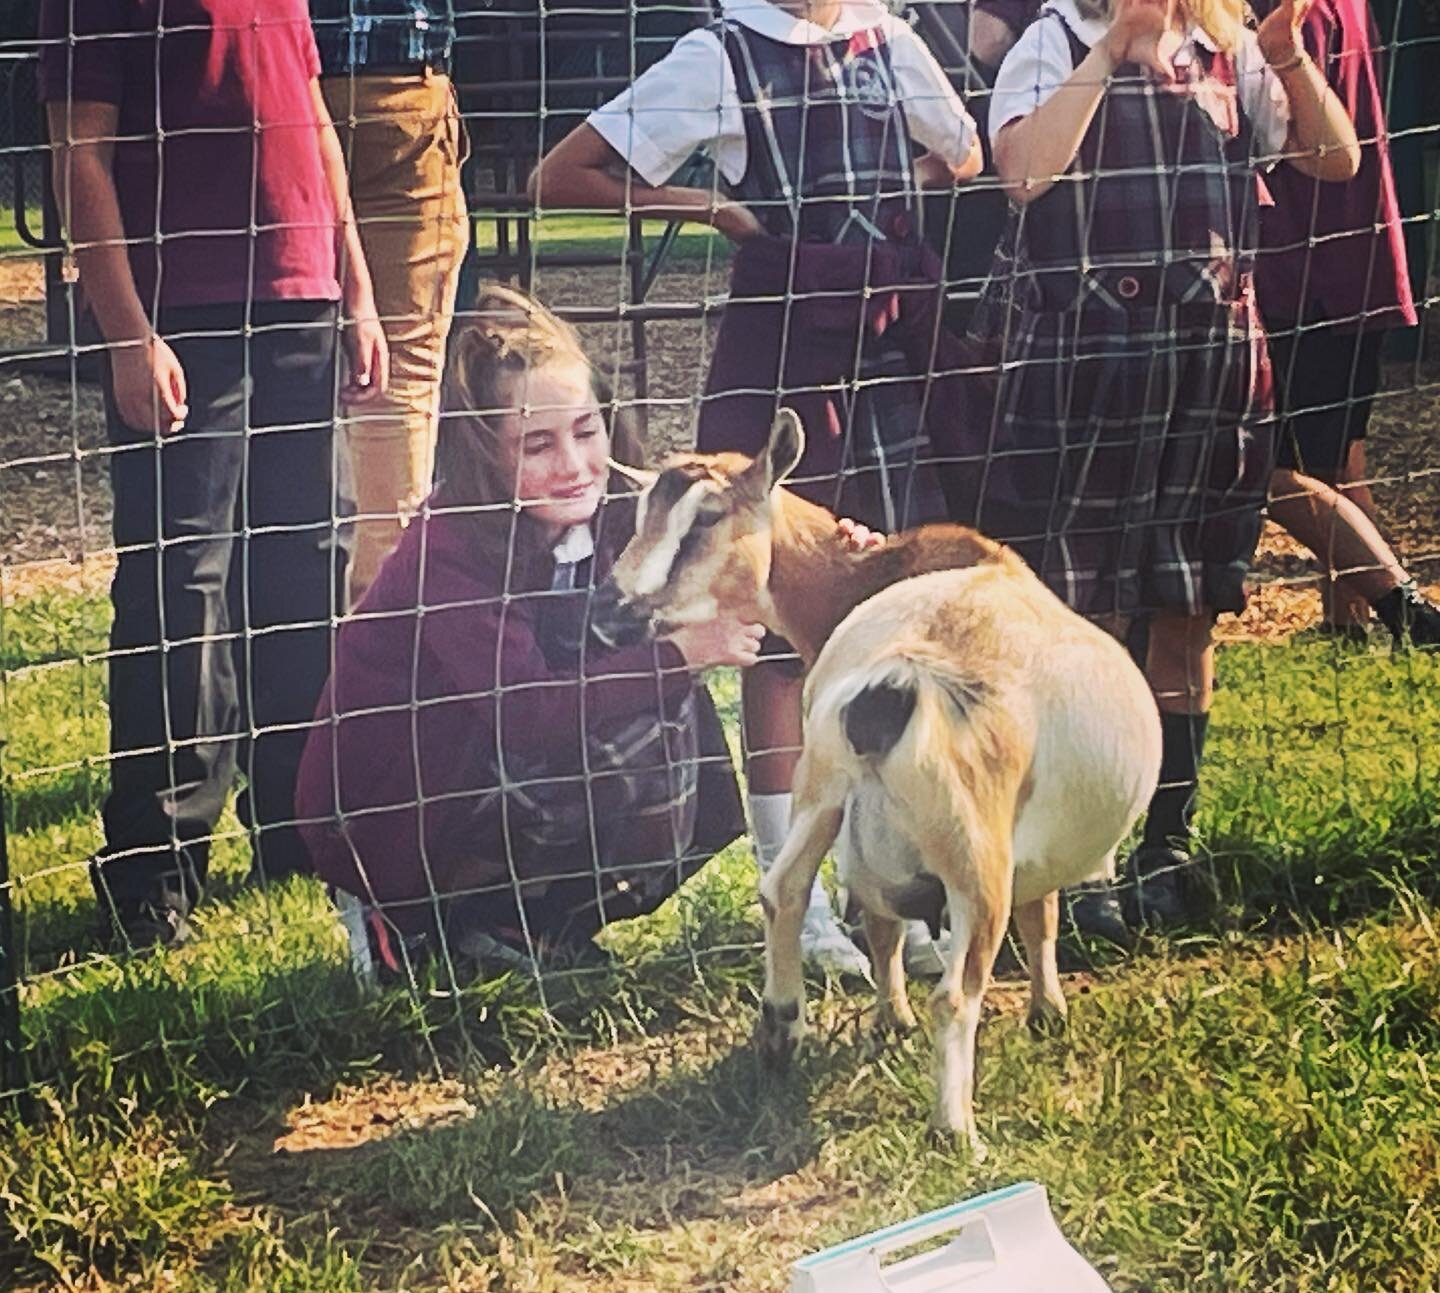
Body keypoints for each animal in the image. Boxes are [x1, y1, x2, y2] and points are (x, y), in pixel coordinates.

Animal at [590, 414, 1163, 1151]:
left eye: (707, 517)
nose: (613, 610)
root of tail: (897, 682)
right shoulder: (1024, 848)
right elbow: (1041, 916)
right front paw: (1049, 1012)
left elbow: (884, 925)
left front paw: (891, 1021)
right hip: (975, 852)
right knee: (959, 990)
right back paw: (957, 1130)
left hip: (823, 786)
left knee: (784, 888)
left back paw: (780, 1029)